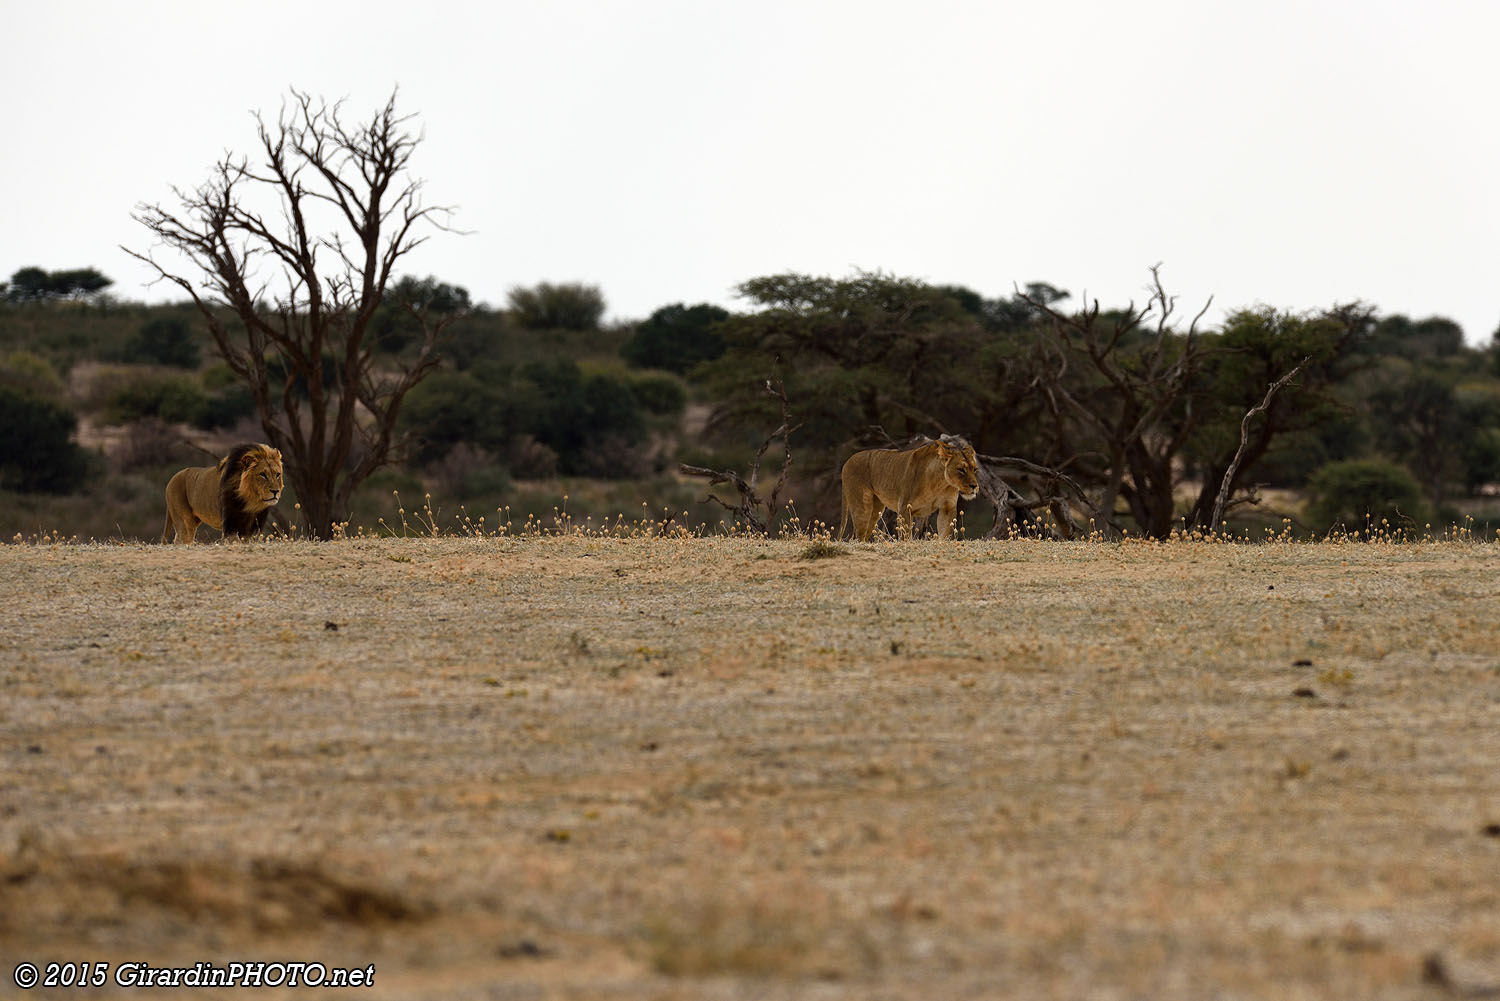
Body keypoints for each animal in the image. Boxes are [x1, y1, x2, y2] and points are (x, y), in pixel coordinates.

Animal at [839, 434, 980, 541]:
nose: (974, 486)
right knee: (857, 536)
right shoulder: (905, 508)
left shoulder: (947, 508)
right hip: (862, 508)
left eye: (974, 469)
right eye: (961, 469)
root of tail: (847, 462)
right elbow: (906, 536)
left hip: (876, 509)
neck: (940, 483)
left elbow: (945, 534)